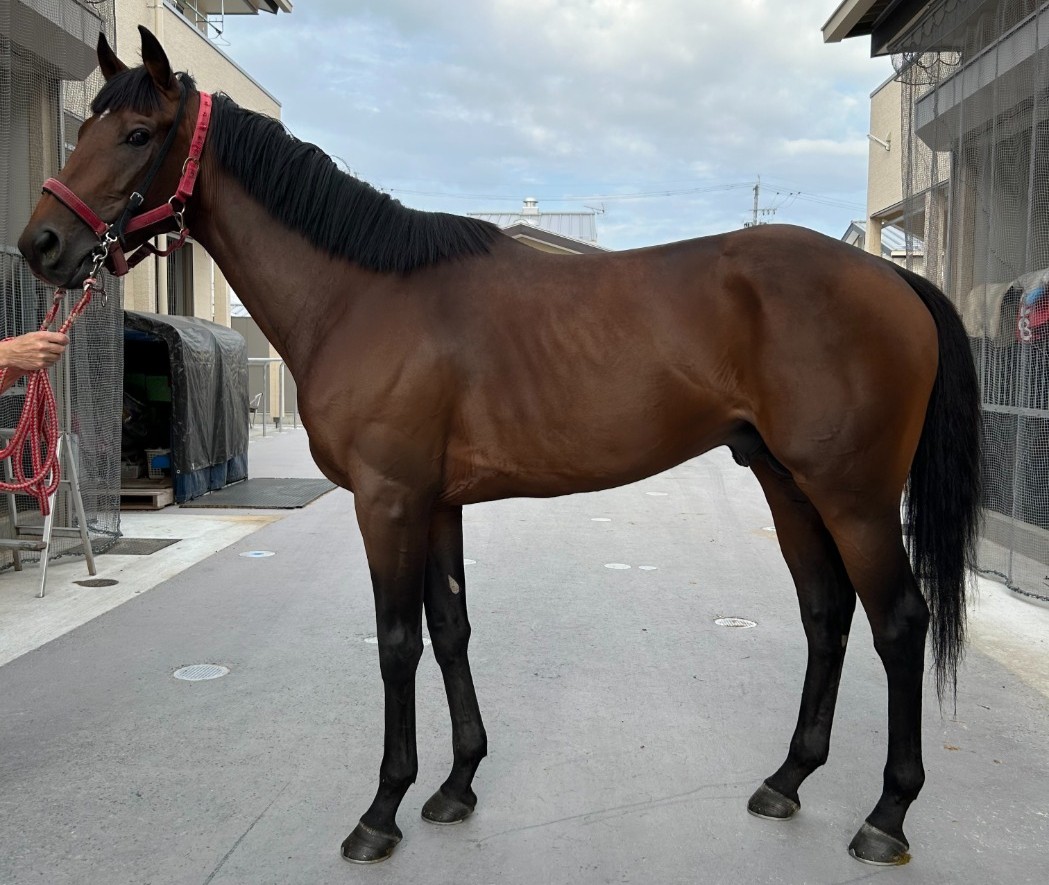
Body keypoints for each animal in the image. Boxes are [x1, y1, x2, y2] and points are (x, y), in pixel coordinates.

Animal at [18, 27, 981, 868]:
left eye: (137, 133)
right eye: (85, 125)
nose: (42, 243)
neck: (361, 294)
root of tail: (891, 276)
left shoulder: (388, 501)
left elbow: (396, 640)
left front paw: (381, 810)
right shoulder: (436, 502)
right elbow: (450, 630)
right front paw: (456, 784)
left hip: (852, 495)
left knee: (898, 622)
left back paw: (885, 816)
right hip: (786, 483)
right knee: (825, 614)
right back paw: (786, 778)